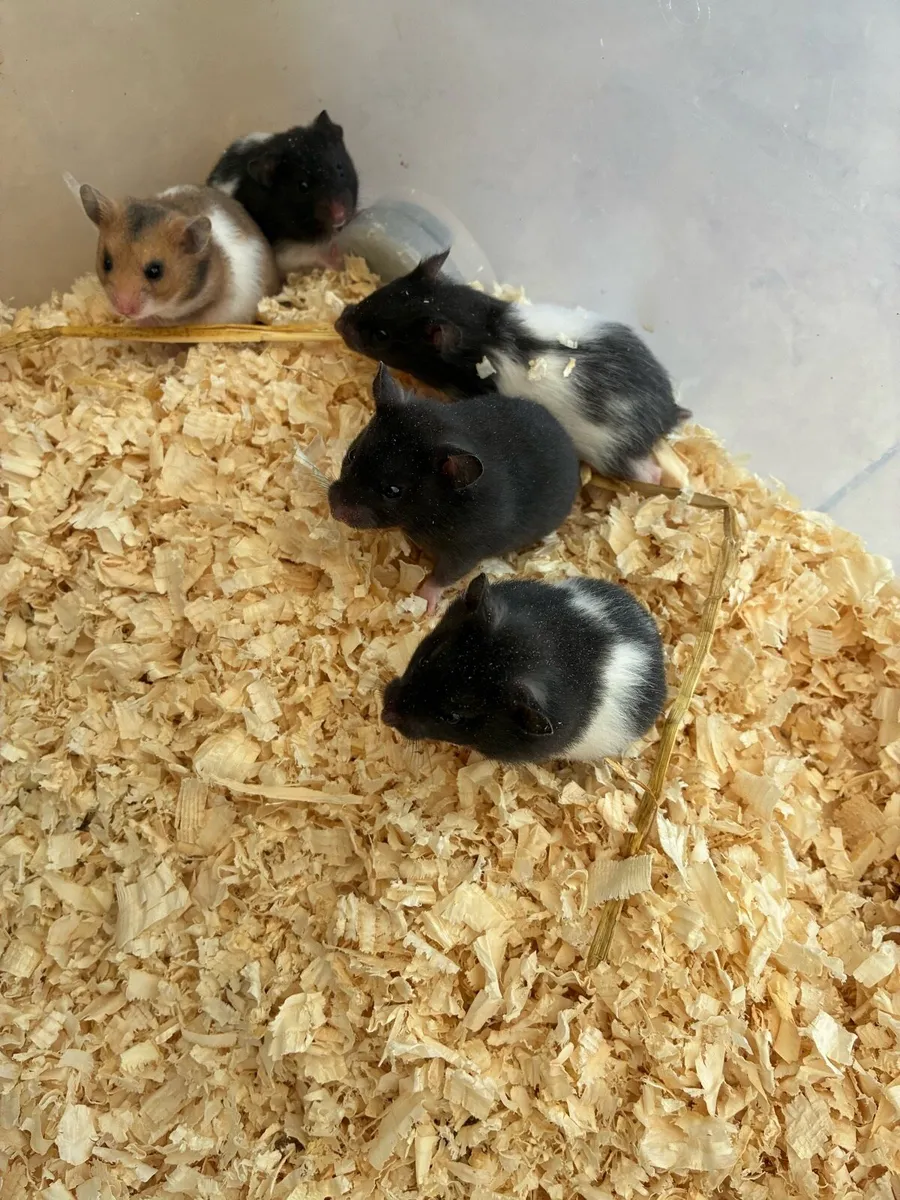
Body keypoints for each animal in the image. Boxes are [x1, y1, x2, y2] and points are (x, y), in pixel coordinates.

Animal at [207, 111, 359, 276]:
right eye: (302, 186)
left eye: (339, 168)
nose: (340, 215)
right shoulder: (281, 249)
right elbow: (307, 254)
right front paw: (338, 261)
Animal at [327, 364, 580, 613]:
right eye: (352, 455)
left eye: (393, 491)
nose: (335, 512)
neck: (437, 509)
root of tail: (567, 439)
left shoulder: (465, 552)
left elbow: (443, 576)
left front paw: (424, 604)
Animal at [335, 249, 689, 484]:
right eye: (383, 291)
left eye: (382, 336)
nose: (338, 322)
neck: (480, 328)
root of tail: (669, 413)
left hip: (614, 451)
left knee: (646, 471)